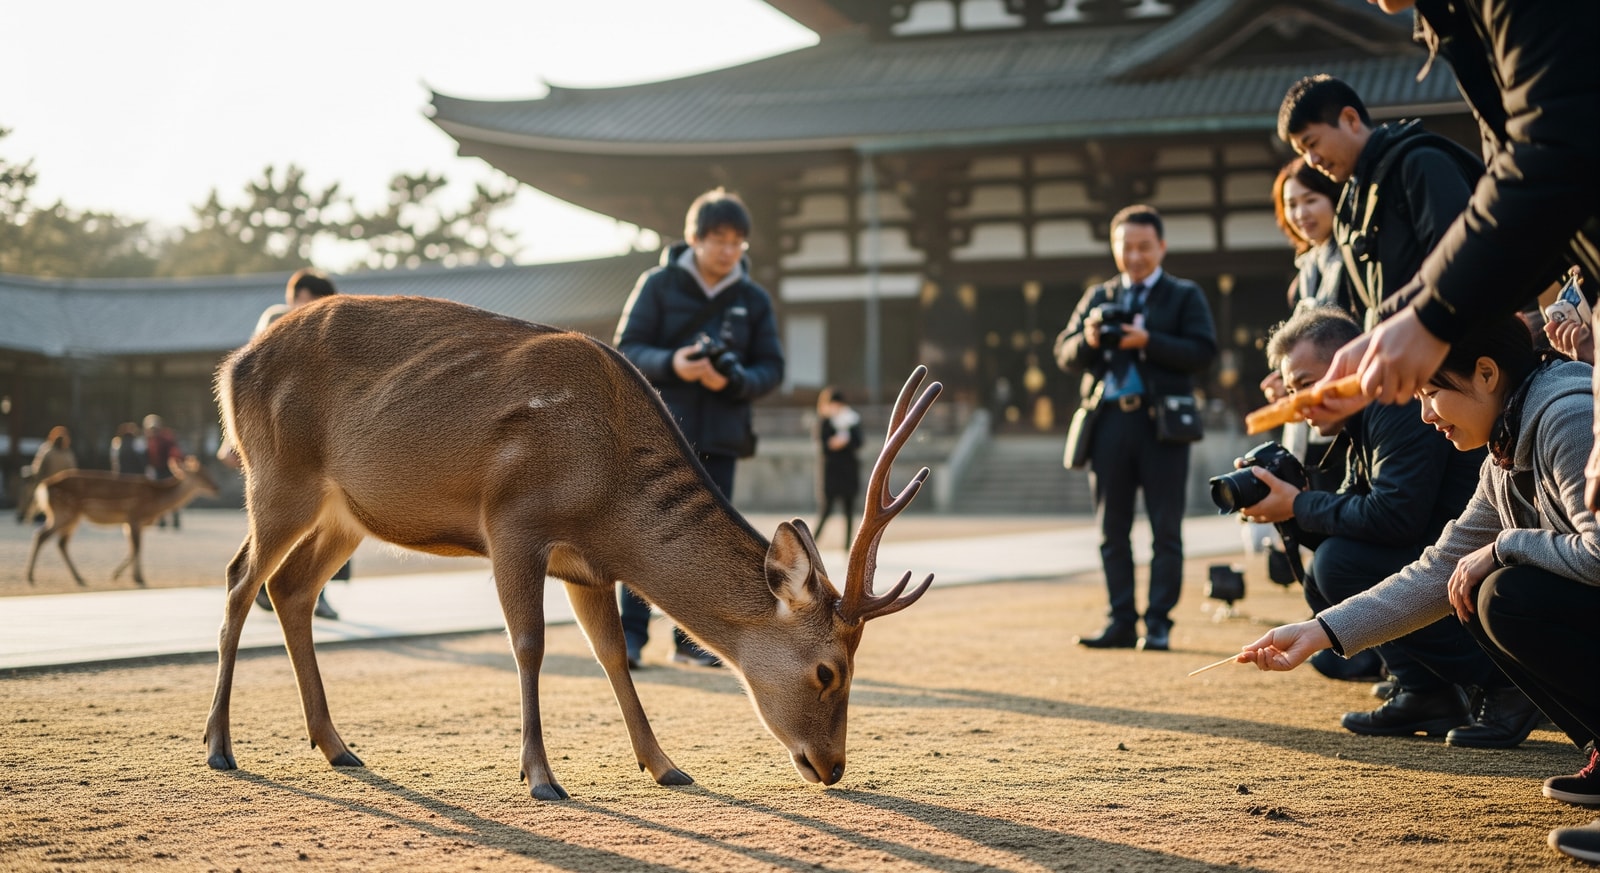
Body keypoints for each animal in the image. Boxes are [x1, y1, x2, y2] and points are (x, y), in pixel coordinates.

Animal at [25, 456, 220, 587]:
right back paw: (31, 577)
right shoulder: (134, 515)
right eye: (200, 474)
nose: (216, 487)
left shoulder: (131, 522)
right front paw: (136, 578)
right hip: (65, 512)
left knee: (60, 543)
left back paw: (79, 578)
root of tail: (43, 487)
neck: (155, 503)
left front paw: (122, 576)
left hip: (71, 516)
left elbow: (134, 547)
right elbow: (137, 547)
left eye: (208, 472)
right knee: (42, 535)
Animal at [204, 294, 940, 801]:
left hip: (345, 513)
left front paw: (666, 765)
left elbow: (613, 653)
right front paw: (540, 775)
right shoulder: (512, 522)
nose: (832, 765)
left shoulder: (588, 568)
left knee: (291, 587)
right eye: (829, 671)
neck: (607, 502)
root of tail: (231, 366)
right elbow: (529, 644)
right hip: (277, 474)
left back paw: (336, 746)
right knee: (240, 578)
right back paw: (219, 746)